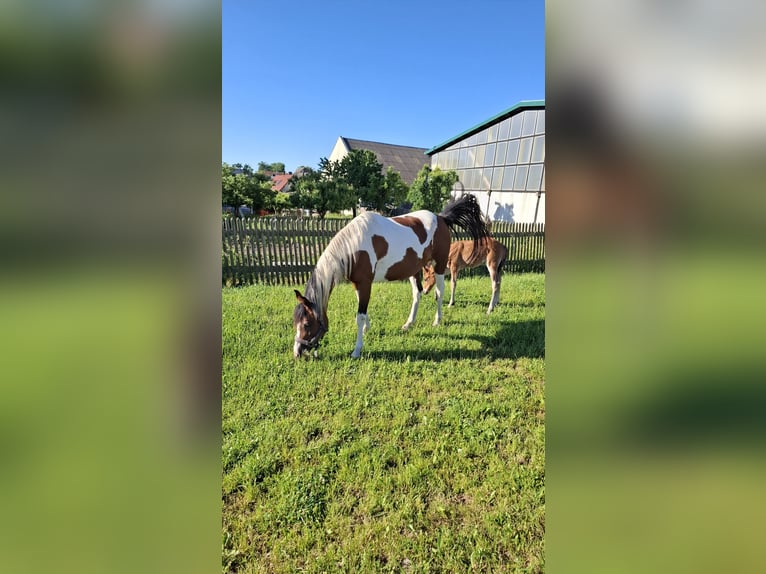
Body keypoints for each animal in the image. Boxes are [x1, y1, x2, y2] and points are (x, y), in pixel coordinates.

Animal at [292, 194, 489, 359]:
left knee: (439, 292)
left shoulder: (365, 283)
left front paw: (357, 350)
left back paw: (437, 321)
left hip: (439, 265)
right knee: (417, 293)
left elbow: (359, 315)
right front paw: (367, 329)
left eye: (307, 324)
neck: (355, 247)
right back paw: (408, 324)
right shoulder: (358, 283)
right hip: (414, 270)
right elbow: (362, 309)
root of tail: (441, 218)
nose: (297, 352)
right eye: (295, 321)